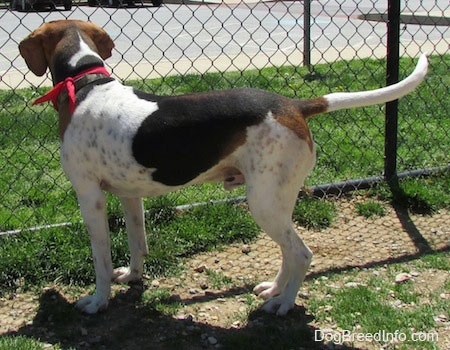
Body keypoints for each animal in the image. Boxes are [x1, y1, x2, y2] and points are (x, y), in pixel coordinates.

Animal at [20, 18, 428, 314]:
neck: (86, 82)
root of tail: (294, 105)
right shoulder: (129, 195)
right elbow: (138, 244)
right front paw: (133, 277)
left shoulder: (90, 197)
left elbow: (100, 260)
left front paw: (96, 301)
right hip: (277, 200)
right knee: (288, 252)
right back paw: (274, 289)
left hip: (263, 203)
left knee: (302, 254)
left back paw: (283, 304)